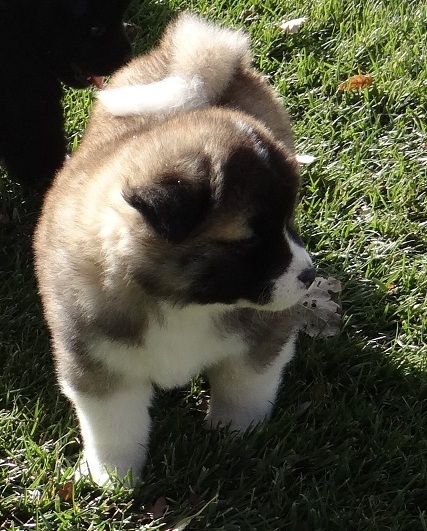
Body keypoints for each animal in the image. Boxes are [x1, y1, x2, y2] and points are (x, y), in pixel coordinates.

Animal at [34, 13, 318, 486]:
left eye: (287, 223)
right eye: (249, 240)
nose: (309, 275)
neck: (179, 302)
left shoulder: (261, 339)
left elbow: (244, 388)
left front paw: (236, 436)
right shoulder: (99, 367)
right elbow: (114, 428)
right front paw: (114, 479)